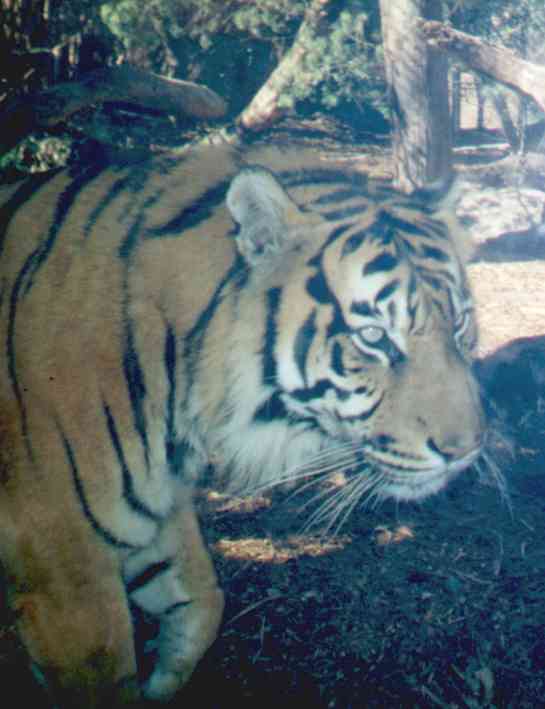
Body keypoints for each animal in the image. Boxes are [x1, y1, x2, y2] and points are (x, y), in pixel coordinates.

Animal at [0, 140, 485, 707]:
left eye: (459, 322)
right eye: (373, 337)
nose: (466, 450)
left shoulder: (152, 510)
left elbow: (203, 599)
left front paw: (162, 683)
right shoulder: (64, 564)